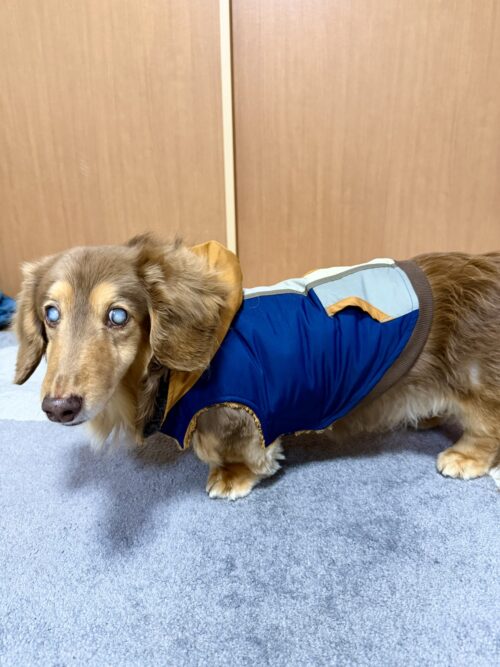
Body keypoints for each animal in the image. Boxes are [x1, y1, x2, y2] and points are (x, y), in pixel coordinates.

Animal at [13, 234, 500, 498]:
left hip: (476, 382)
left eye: (118, 316)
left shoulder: (237, 413)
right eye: (50, 314)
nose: (59, 407)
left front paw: (232, 477)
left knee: (486, 425)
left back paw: (465, 457)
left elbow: (236, 450)